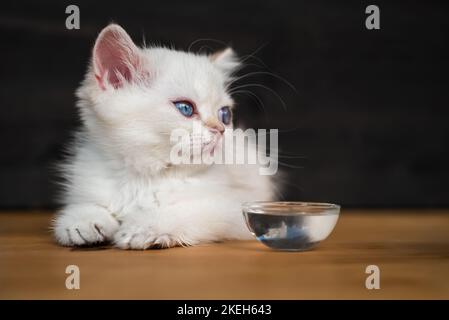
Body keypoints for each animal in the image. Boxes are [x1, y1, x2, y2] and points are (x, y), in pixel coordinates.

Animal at [52, 24, 272, 250]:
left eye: (225, 114)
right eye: (185, 108)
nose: (220, 129)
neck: (143, 176)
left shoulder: (234, 207)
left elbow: (189, 211)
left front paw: (143, 226)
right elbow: (85, 204)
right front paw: (83, 221)